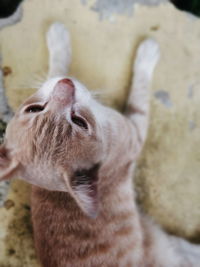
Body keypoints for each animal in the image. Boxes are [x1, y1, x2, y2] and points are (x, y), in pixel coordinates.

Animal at [0, 23, 200, 267]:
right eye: (80, 122)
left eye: (35, 109)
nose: (66, 84)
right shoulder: (135, 131)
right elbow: (140, 94)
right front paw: (147, 55)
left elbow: (55, 68)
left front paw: (58, 41)